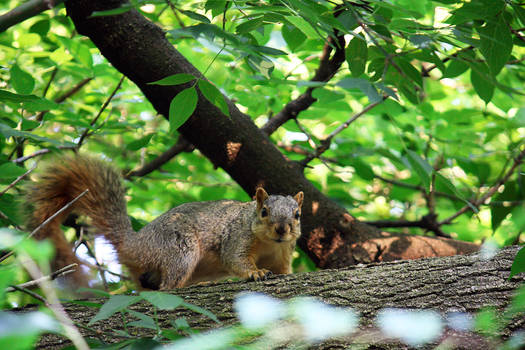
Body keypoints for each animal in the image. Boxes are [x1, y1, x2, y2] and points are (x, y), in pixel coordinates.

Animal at [25, 154, 302, 288]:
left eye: (298, 215)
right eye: (264, 211)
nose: (281, 229)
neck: (270, 244)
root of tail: (134, 245)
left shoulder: (283, 254)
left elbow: (283, 271)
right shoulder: (237, 238)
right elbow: (235, 259)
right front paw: (256, 272)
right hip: (179, 249)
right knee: (168, 286)